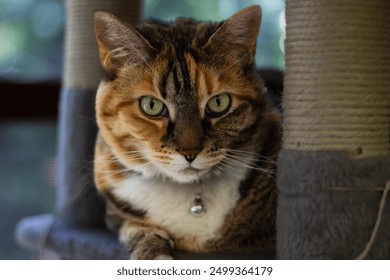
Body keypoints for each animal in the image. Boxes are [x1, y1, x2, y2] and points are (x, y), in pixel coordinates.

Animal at [93, 5, 278, 260]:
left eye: (219, 102)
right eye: (151, 105)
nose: (190, 152)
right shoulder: (114, 212)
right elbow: (135, 228)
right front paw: (153, 251)